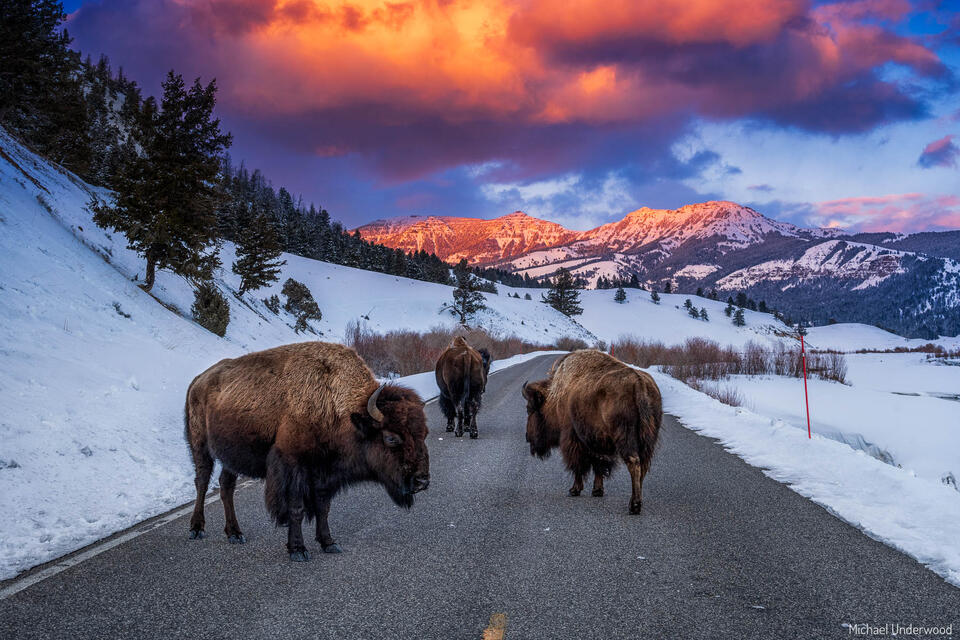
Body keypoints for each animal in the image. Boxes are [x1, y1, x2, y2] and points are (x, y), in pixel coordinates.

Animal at [184, 342, 430, 561]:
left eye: (424, 433)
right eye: (391, 438)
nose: (422, 481)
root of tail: (198, 380)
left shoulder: (324, 474)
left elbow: (323, 508)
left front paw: (329, 543)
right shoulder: (294, 467)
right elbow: (297, 508)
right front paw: (298, 550)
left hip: (231, 456)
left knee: (226, 485)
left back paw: (235, 533)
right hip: (200, 446)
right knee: (202, 481)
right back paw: (197, 529)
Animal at [522, 350, 662, 514]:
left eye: (530, 409)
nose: (527, 437)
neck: (555, 396)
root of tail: (639, 383)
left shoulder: (575, 439)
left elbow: (578, 464)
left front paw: (574, 490)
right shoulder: (597, 442)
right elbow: (598, 464)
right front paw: (597, 490)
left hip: (625, 438)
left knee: (634, 462)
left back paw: (634, 505)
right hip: (647, 441)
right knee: (643, 466)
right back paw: (637, 502)